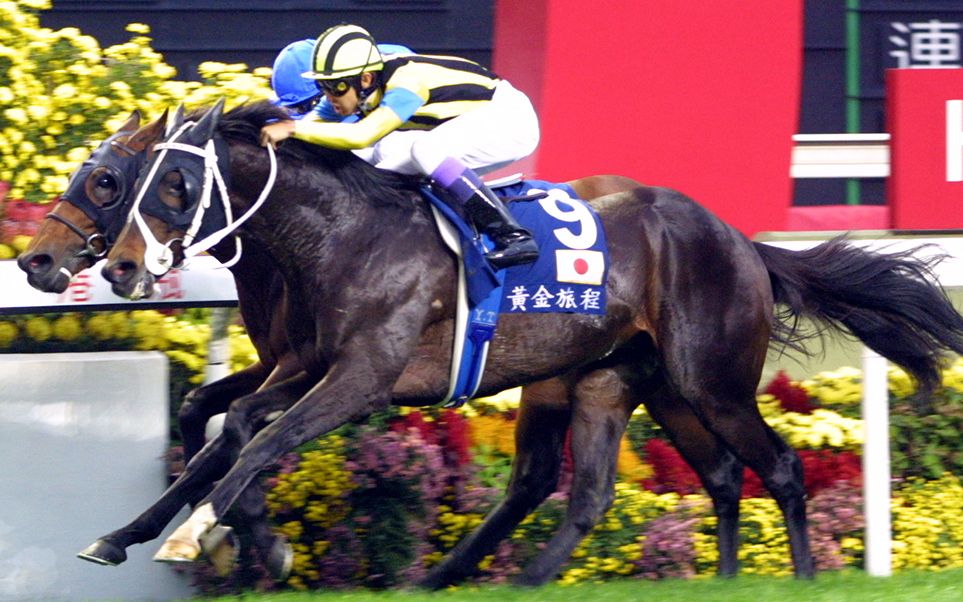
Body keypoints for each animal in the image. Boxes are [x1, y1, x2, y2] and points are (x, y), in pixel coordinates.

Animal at [95, 100, 963, 587]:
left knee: (775, 467)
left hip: (709, 381)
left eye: (173, 185)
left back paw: (802, 576)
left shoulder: (361, 378)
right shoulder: (308, 365)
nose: (121, 266)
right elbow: (236, 433)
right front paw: (138, 534)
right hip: (626, 382)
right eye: (127, 185)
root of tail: (742, 242)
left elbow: (255, 444)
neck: (340, 233)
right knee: (652, 482)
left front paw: (224, 539)